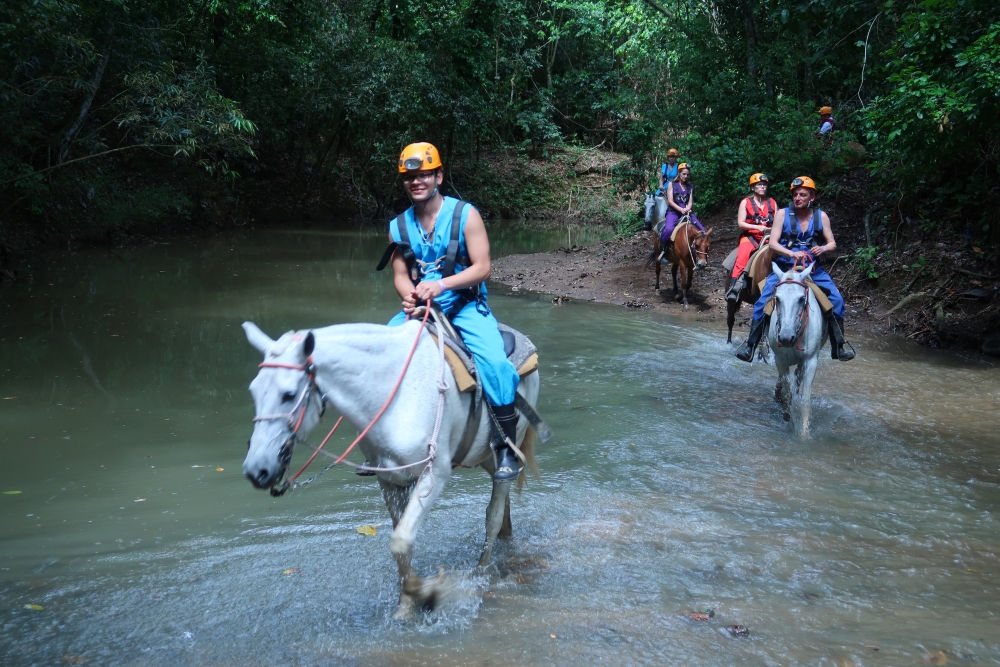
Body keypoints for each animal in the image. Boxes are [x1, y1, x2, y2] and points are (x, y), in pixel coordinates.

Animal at [240, 320, 540, 620]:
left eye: (288, 394)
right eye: (253, 391)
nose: (257, 470)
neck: (394, 394)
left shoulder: (434, 474)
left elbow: (401, 540)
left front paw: (430, 593)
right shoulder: (390, 480)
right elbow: (401, 544)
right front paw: (405, 608)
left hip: (506, 449)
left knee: (493, 515)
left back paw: (481, 574)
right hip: (485, 459)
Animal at [768, 260, 824, 438]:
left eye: (801, 299)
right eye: (777, 298)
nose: (786, 338)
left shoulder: (811, 361)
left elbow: (805, 399)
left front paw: (804, 432)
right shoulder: (780, 360)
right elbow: (787, 394)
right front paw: (790, 421)